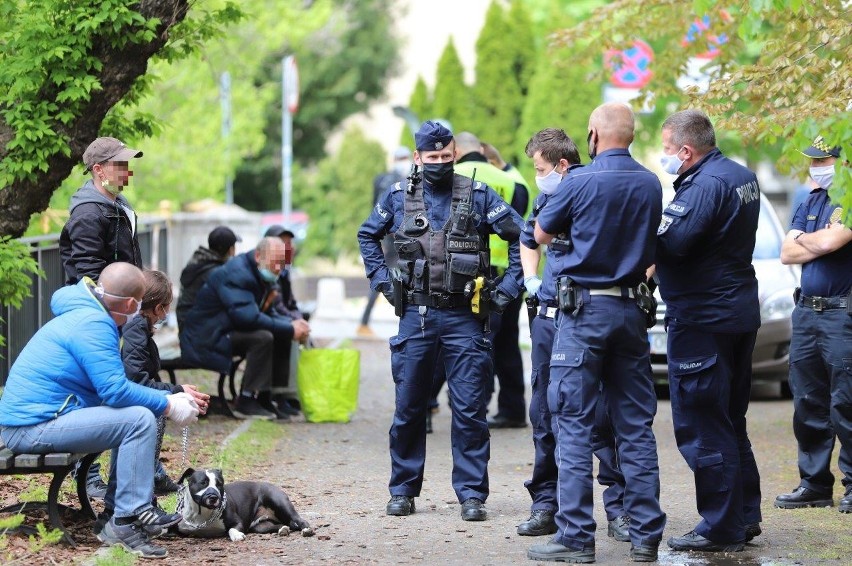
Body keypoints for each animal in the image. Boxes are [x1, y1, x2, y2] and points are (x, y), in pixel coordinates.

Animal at [175, 468, 314, 544]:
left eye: (219, 484)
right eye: (203, 483)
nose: (214, 497)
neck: (203, 513)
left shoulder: (238, 522)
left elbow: (232, 529)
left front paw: (236, 535)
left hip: (281, 504)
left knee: (299, 520)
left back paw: (306, 530)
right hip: (261, 526)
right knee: (281, 525)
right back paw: (283, 529)